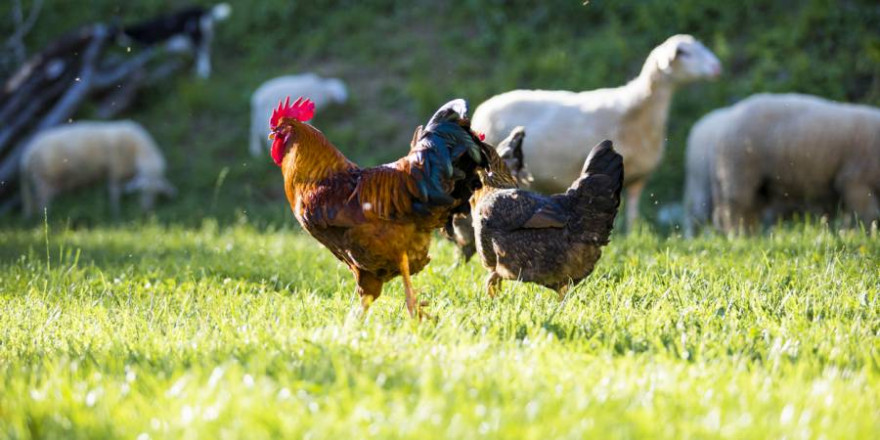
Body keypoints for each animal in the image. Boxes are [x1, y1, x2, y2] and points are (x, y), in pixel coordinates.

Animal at [20, 119, 175, 217]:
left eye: (155, 193)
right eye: (143, 191)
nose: (146, 210)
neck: (139, 150)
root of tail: (28, 152)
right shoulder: (115, 170)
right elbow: (114, 192)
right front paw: (115, 211)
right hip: (43, 177)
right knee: (42, 200)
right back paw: (46, 217)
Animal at [470, 34, 720, 227]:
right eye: (684, 53)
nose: (717, 67)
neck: (636, 109)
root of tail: (483, 107)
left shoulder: (638, 178)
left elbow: (632, 215)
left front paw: (633, 234)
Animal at [692, 93, 880, 234]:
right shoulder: (855, 180)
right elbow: (870, 213)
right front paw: (870, 233)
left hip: (750, 181)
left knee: (743, 210)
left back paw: (750, 234)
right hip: (740, 171)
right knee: (734, 209)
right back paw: (739, 235)